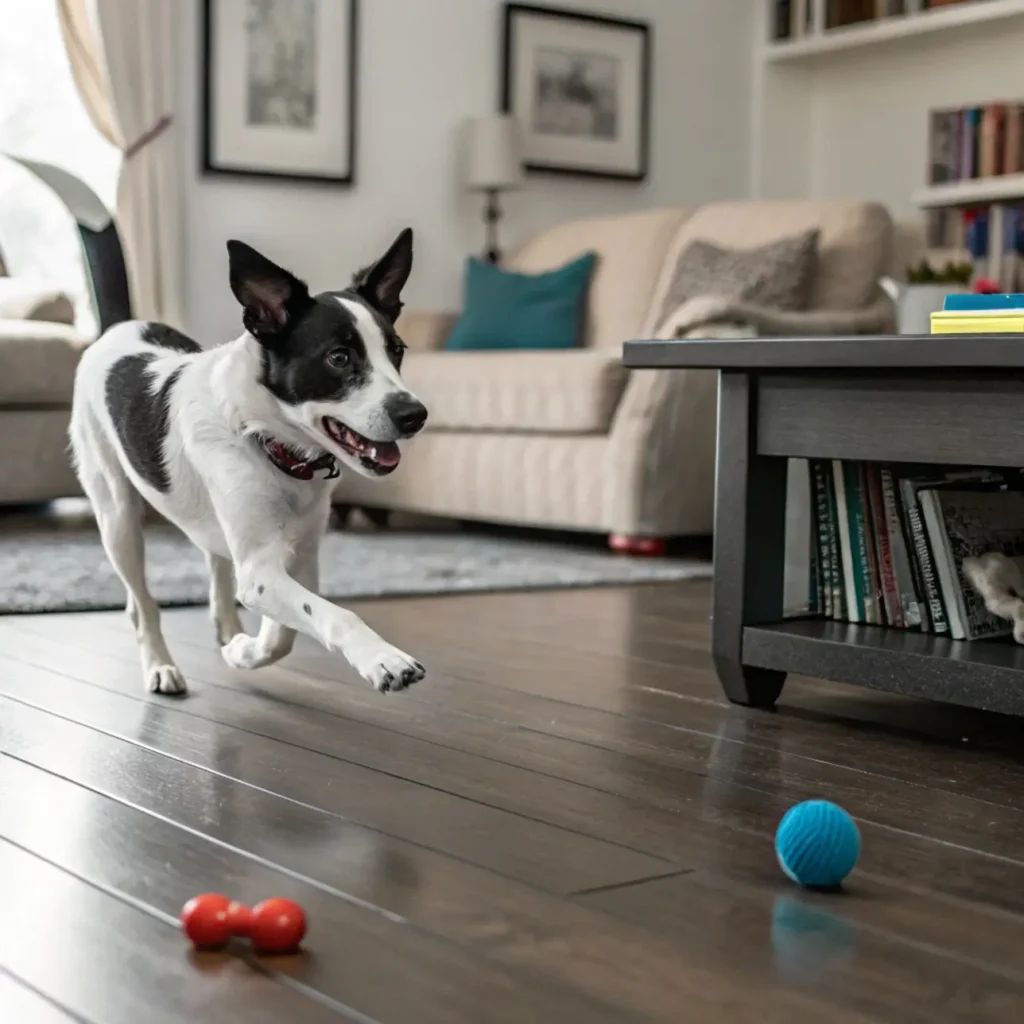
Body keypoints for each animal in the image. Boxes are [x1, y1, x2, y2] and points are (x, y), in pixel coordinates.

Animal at [69, 229, 428, 696]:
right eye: (339, 357)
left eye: (397, 351)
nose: (415, 414)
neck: (269, 440)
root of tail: (119, 328)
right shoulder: (260, 570)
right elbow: (333, 615)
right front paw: (382, 658)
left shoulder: (298, 557)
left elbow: (284, 633)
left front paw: (242, 650)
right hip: (117, 517)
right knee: (141, 603)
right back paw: (160, 666)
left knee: (216, 561)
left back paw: (226, 626)